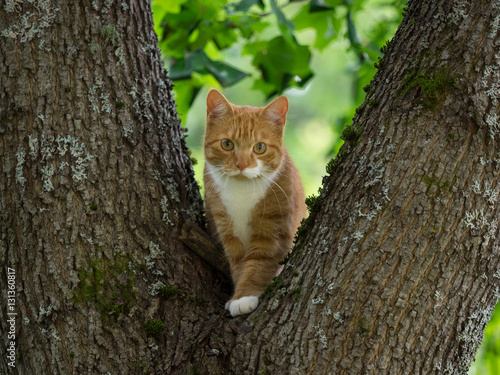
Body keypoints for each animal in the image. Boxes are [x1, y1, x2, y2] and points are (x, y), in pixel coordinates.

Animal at [204, 89, 306, 318]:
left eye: (259, 147)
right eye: (227, 144)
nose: (241, 164)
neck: (241, 192)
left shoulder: (273, 231)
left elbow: (260, 262)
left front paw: (245, 297)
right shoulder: (227, 230)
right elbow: (238, 265)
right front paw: (236, 296)